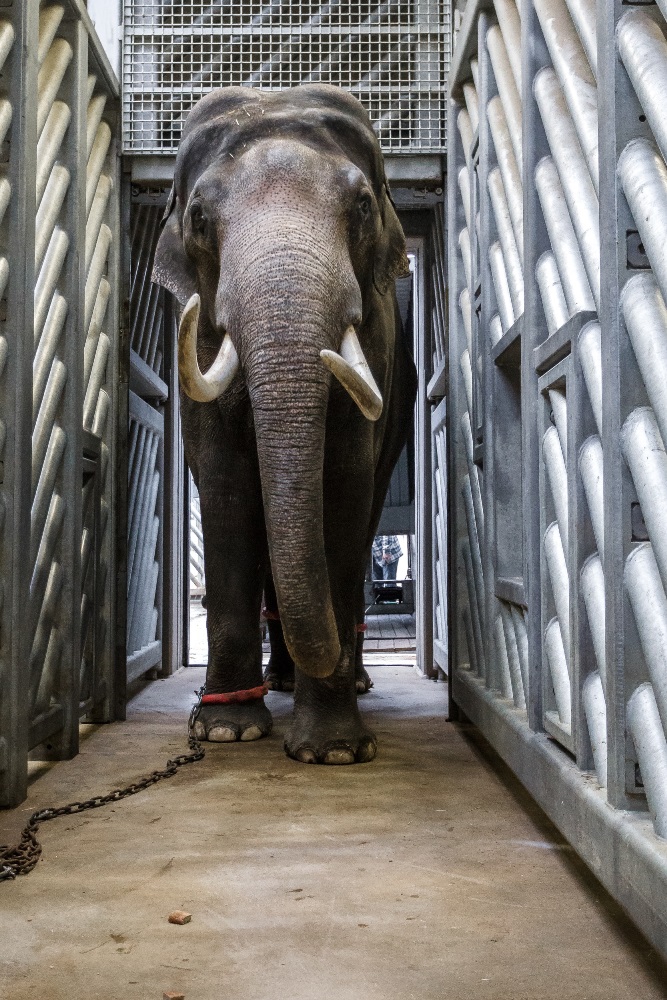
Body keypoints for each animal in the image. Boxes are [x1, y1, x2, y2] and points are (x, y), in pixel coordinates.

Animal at [154, 84, 420, 764]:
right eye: (198, 218)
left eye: (361, 206)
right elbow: (224, 484)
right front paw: (225, 730)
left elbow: (344, 485)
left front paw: (334, 751)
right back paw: (275, 684)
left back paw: (345, 679)